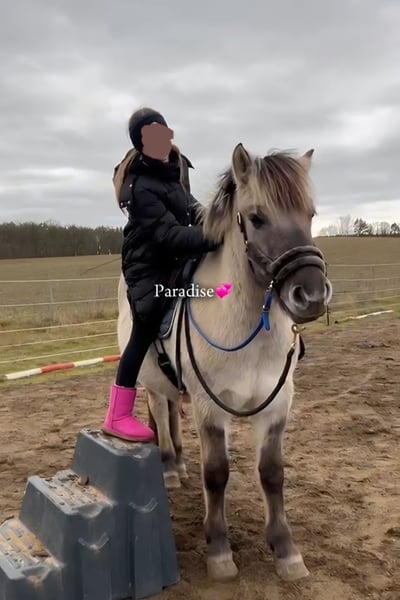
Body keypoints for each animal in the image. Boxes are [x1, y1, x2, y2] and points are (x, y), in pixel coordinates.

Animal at [116, 143, 332, 583]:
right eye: (256, 217)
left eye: (311, 214)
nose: (312, 296)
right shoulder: (210, 407)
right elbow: (216, 474)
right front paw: (219, 552)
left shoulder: (277, 405)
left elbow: (273, 473)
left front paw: (287, 552)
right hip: (149, 382)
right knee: (159, 415)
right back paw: (169, 468)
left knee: (169, 412)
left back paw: (179, 465)